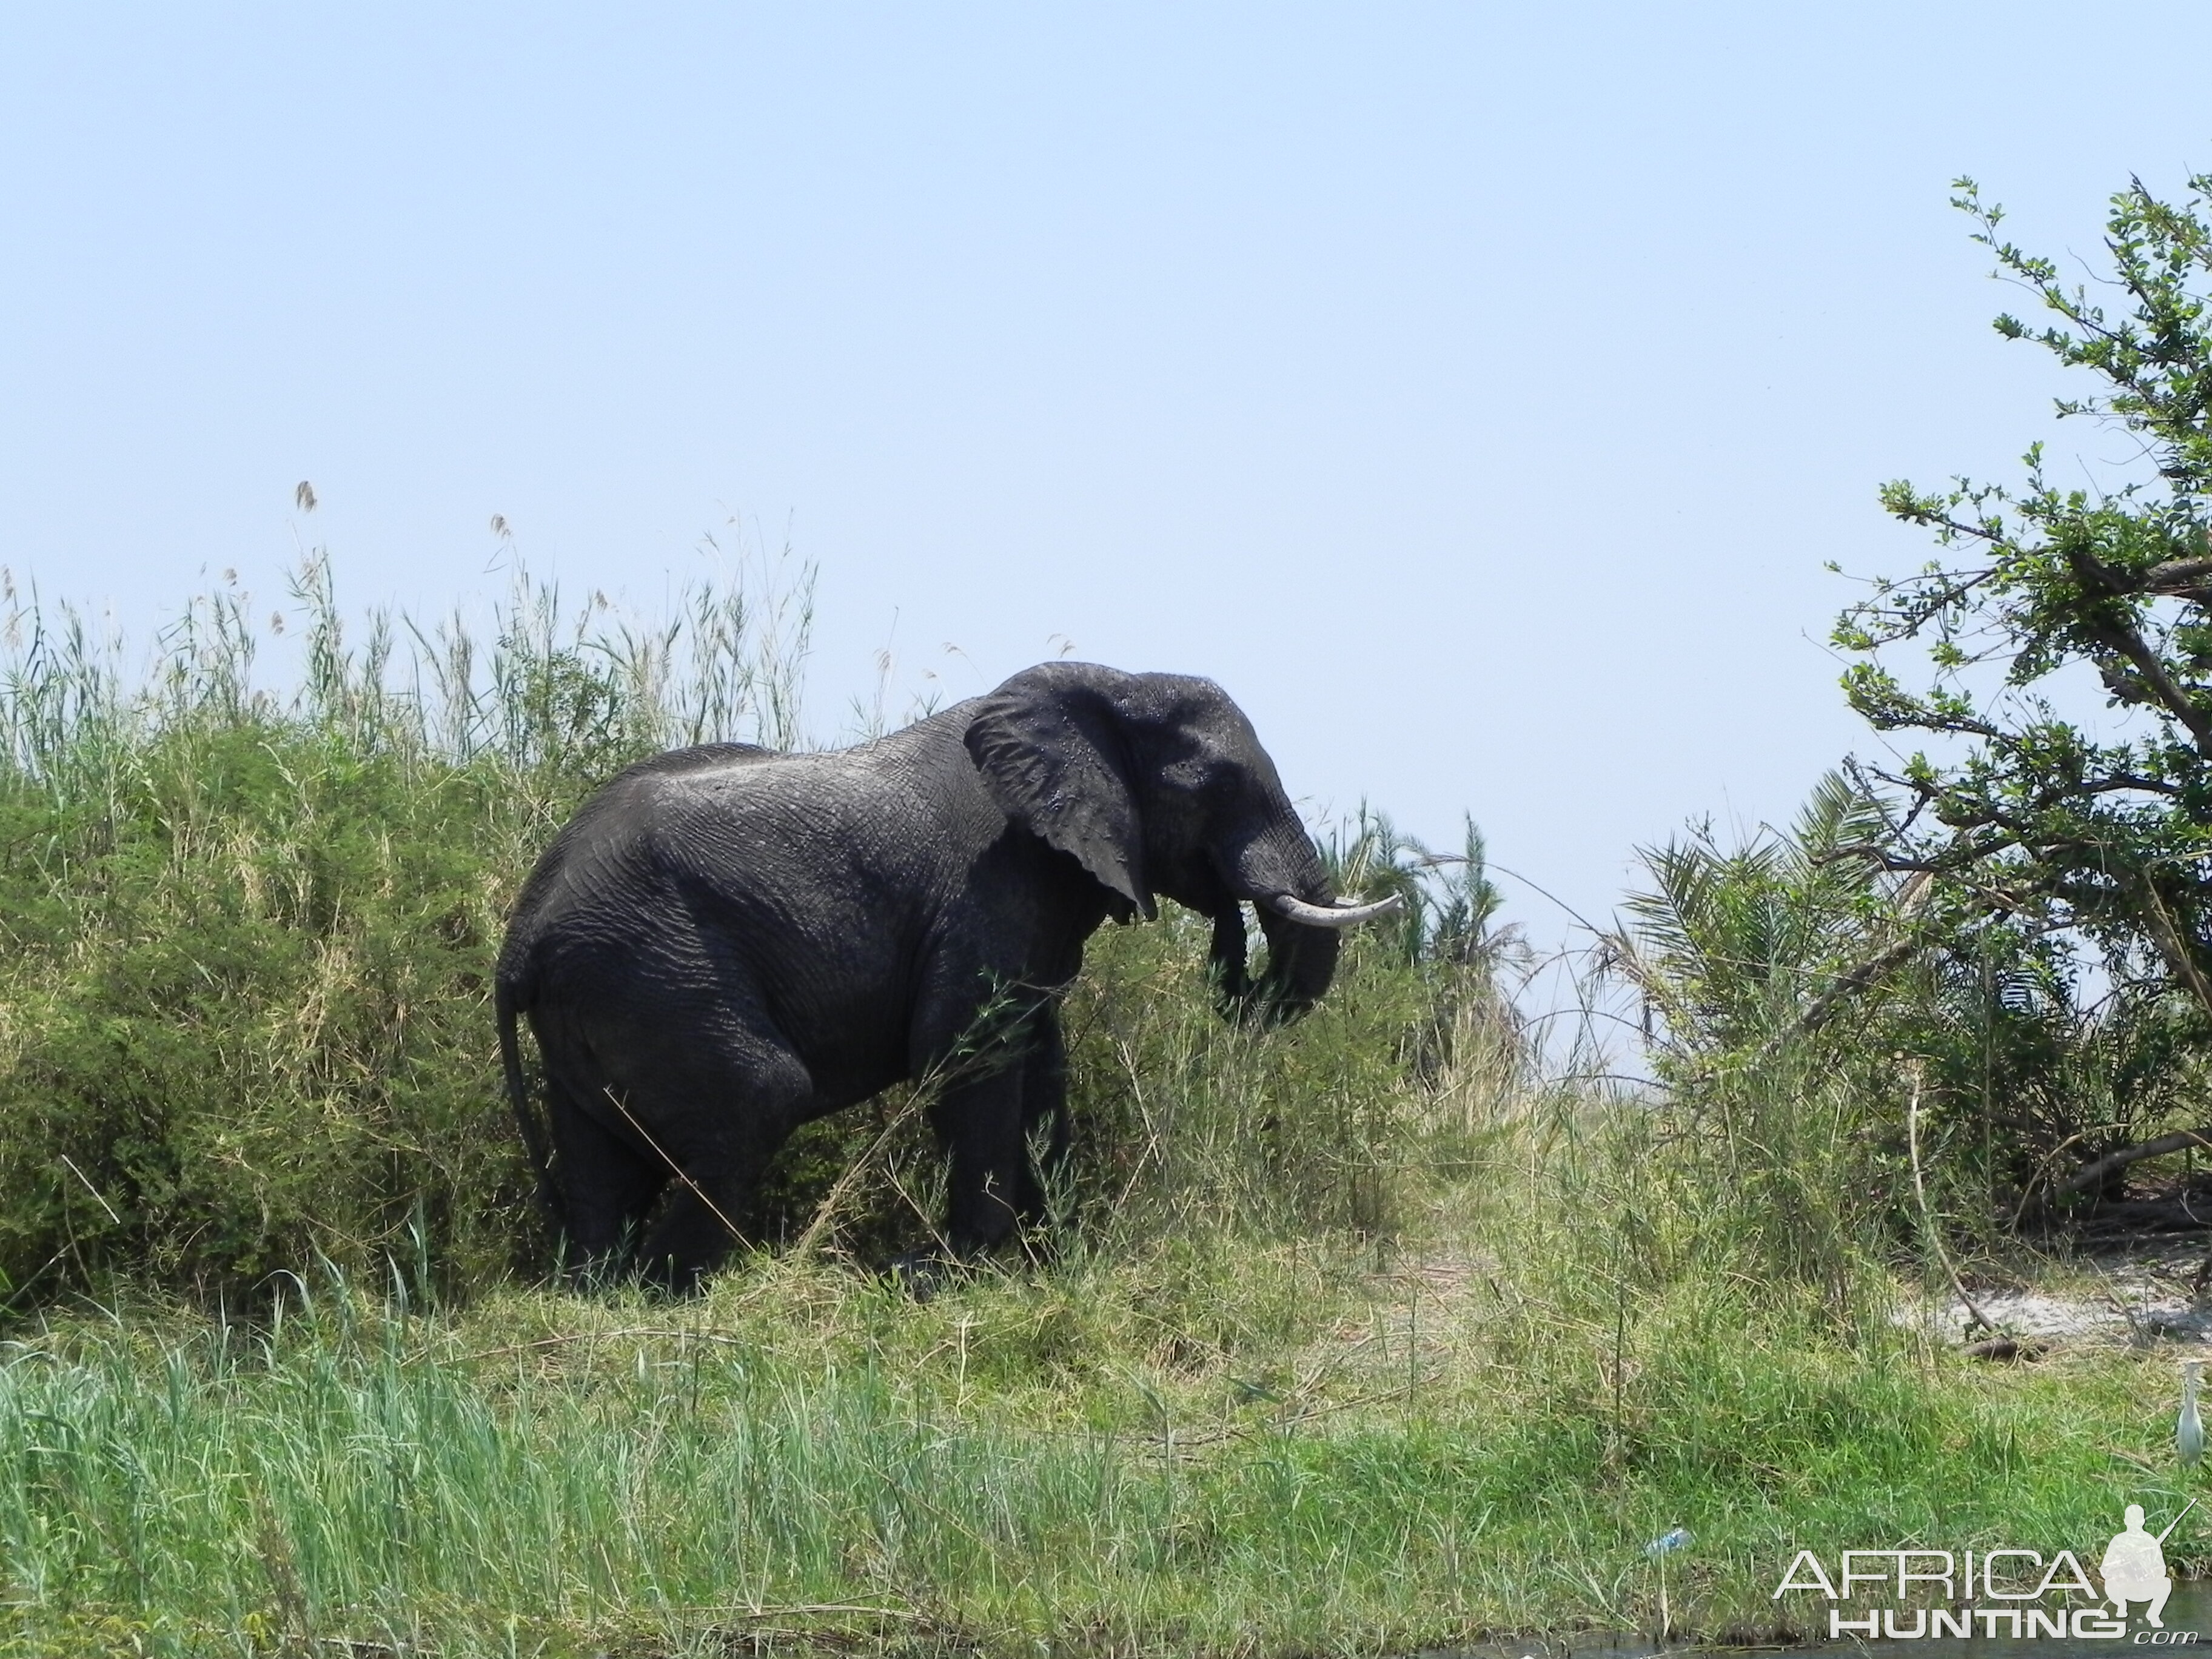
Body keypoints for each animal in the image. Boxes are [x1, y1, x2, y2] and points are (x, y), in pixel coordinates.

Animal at [502, 654, 1398, 1292]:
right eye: (1220, 785)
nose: (1230, 938)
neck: (1103, 688)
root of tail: (521, 934)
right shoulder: (989, 879)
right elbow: (965, 1051)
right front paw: (948, 1274)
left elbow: (1038, 1059)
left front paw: (1052, 1256)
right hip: (653, 965)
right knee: (759, 1096)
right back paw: (677, 1291)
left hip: (607, 986)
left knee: (599, 1158)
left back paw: (601, 1291)